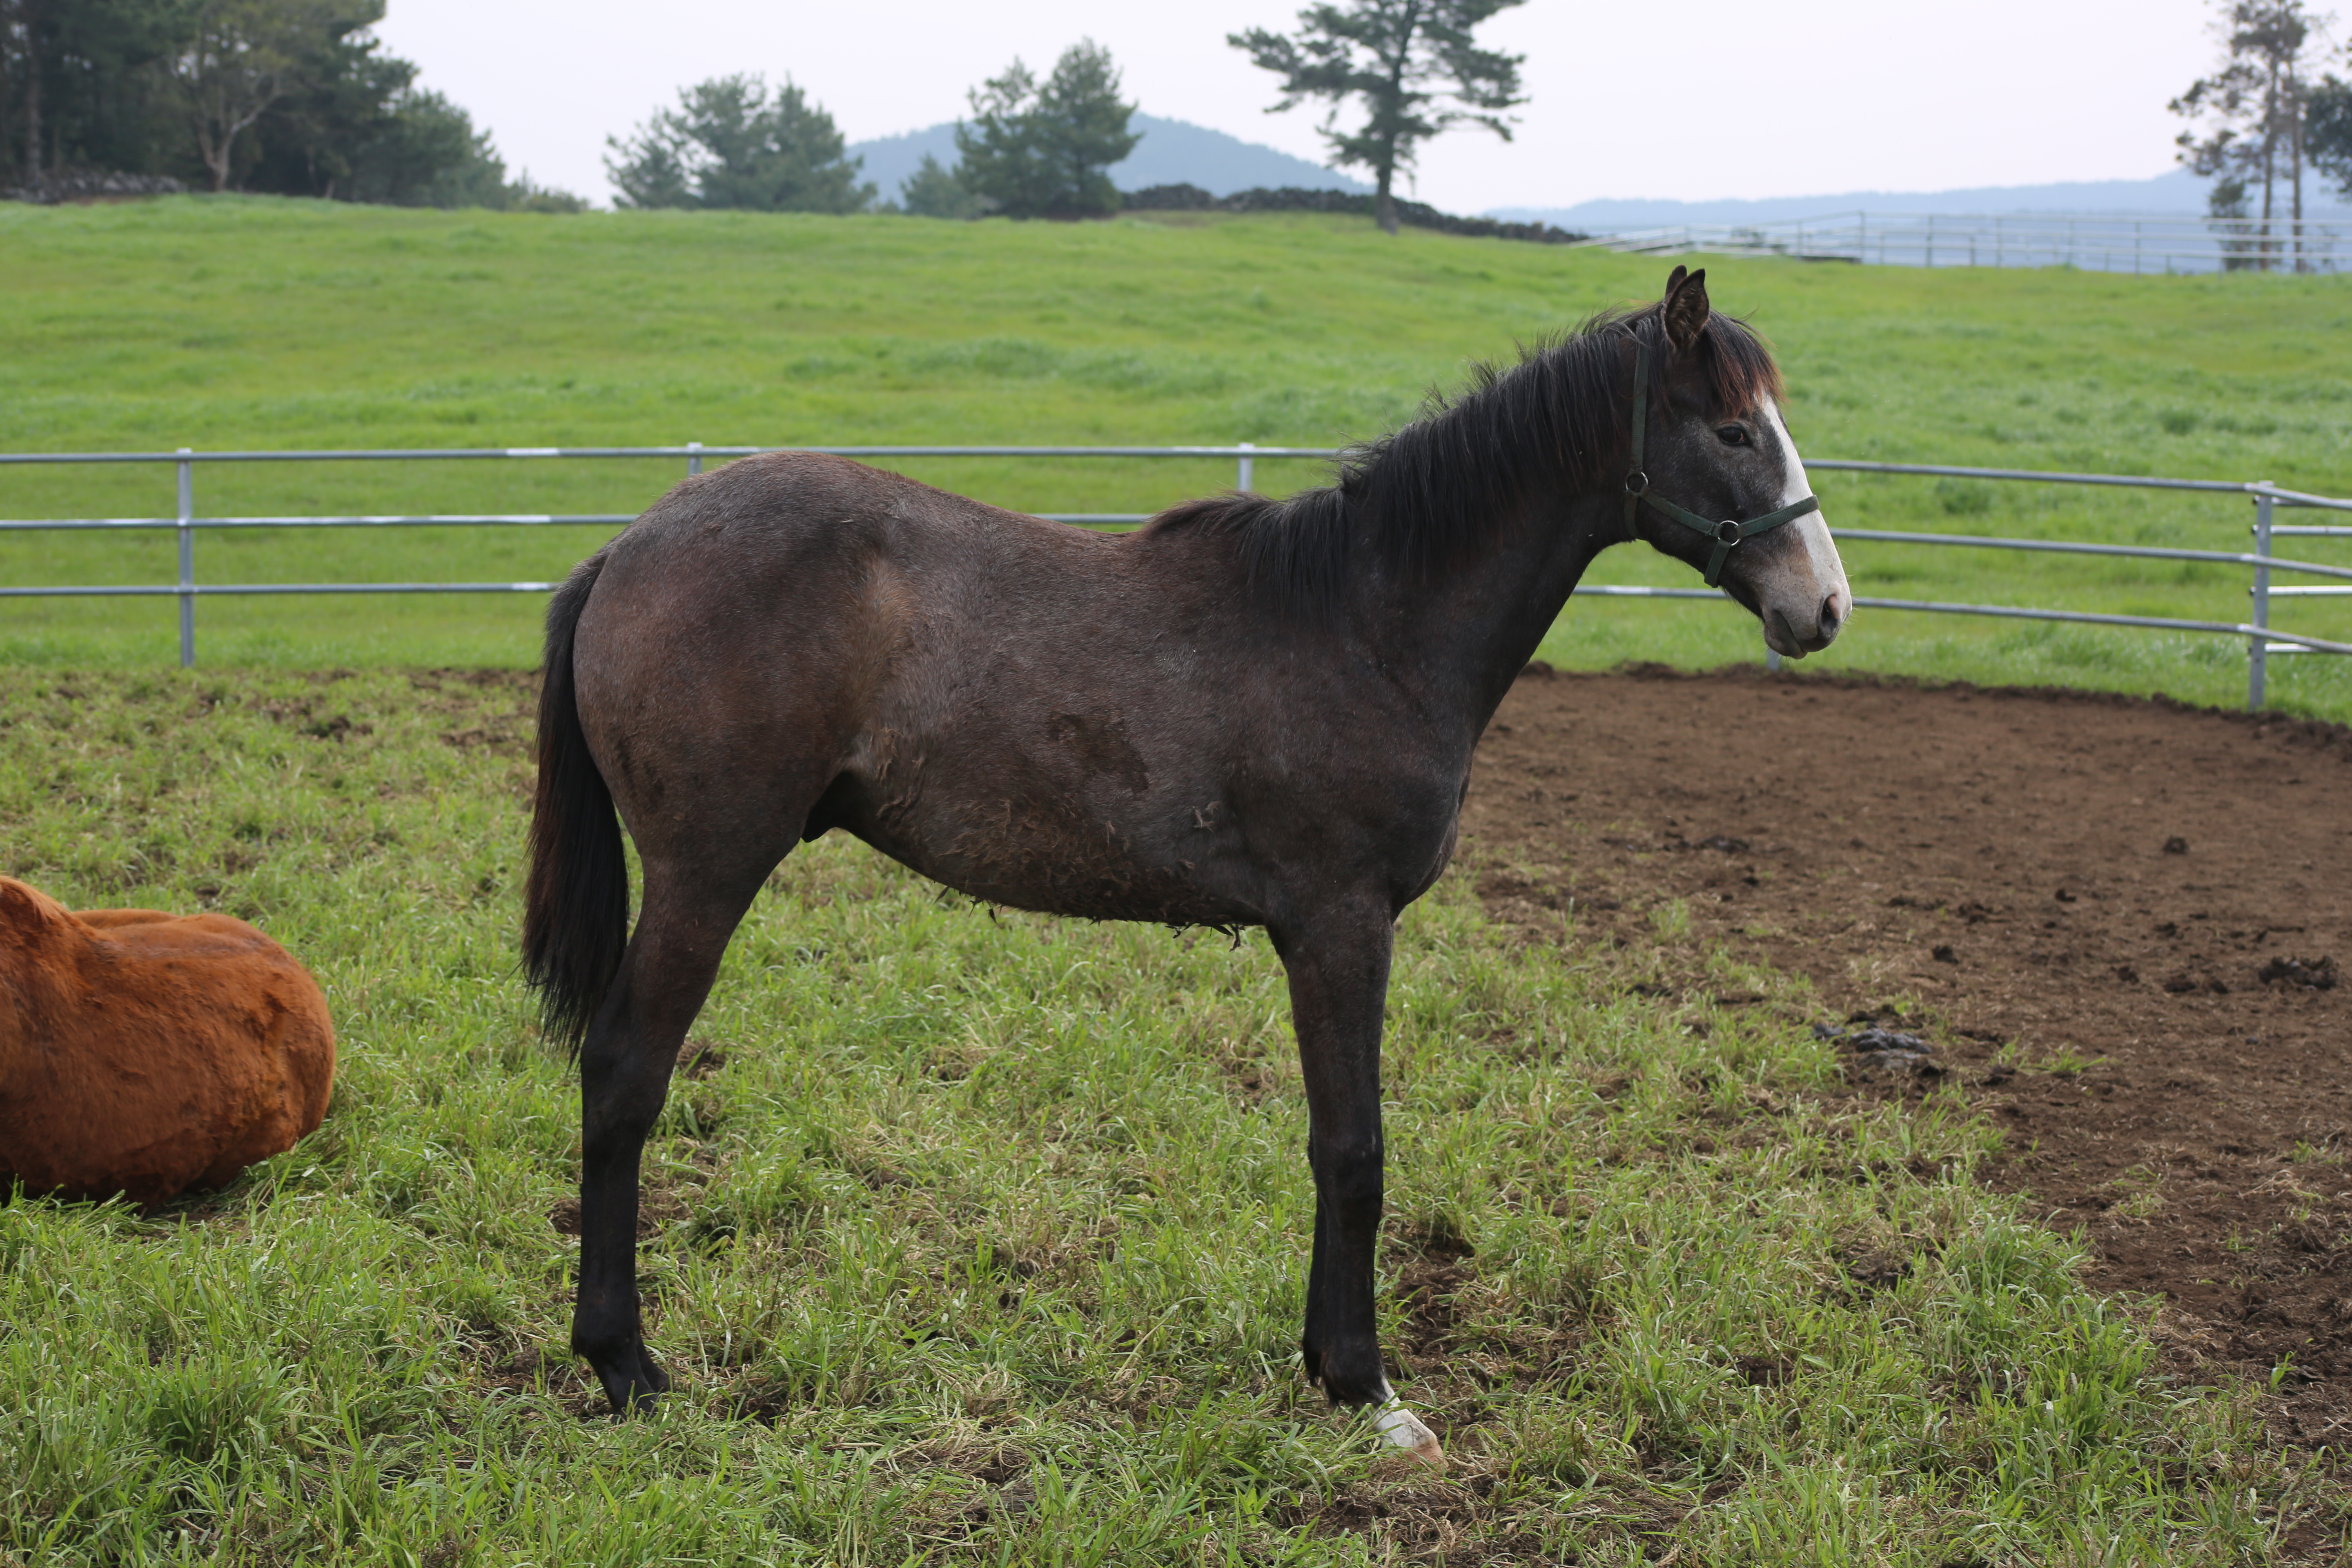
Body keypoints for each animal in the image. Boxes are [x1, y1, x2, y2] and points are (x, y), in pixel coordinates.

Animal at [524, 267, 1844, 1457]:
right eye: (1732, 430)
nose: (1822, 606)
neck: (1367, 624)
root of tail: (628, 549)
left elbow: (1329, 1140)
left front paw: (1323, 1363)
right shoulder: (1341, 923)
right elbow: (1353, 1149)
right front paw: (1366, 1388)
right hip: (705, 874)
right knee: (626, 1071)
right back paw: (626, 1363)